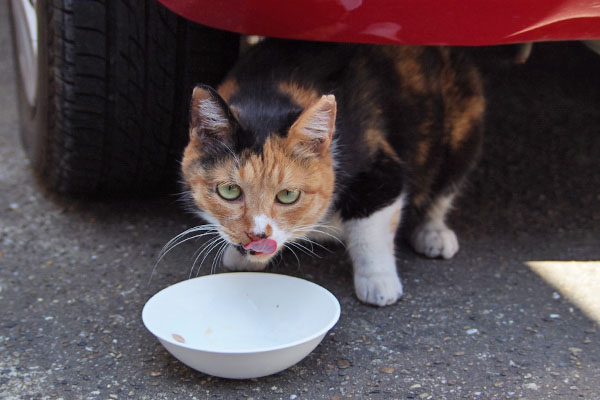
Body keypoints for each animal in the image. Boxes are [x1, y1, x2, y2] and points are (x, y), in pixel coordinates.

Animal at [180, 38, 486, 306]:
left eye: (288, 195)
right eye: (229, 190)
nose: (257, 235)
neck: (267, 95)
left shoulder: (380, 171)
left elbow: (371, 229)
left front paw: (378, 282)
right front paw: (242, 258)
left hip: (461, 134)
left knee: (444, 190)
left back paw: (433, 234)